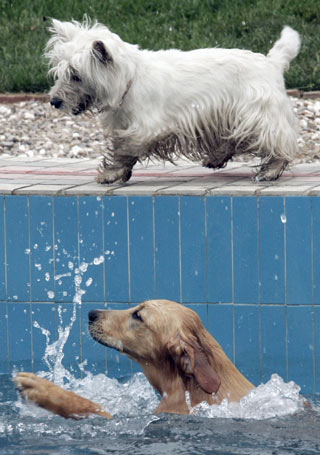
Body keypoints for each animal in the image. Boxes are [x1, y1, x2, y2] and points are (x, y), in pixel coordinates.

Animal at [45, 18, 300, 183]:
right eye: (60, 73)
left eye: (76, 75)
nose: (54, 101)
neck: (130, 77)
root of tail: (272, 62)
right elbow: (122, 146)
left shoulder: (147, 128)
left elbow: (123, 148)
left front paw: (111, 173)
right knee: (234, 139)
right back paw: (215, 158)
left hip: (258, 114)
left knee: (278, 141)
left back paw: (270, 171)